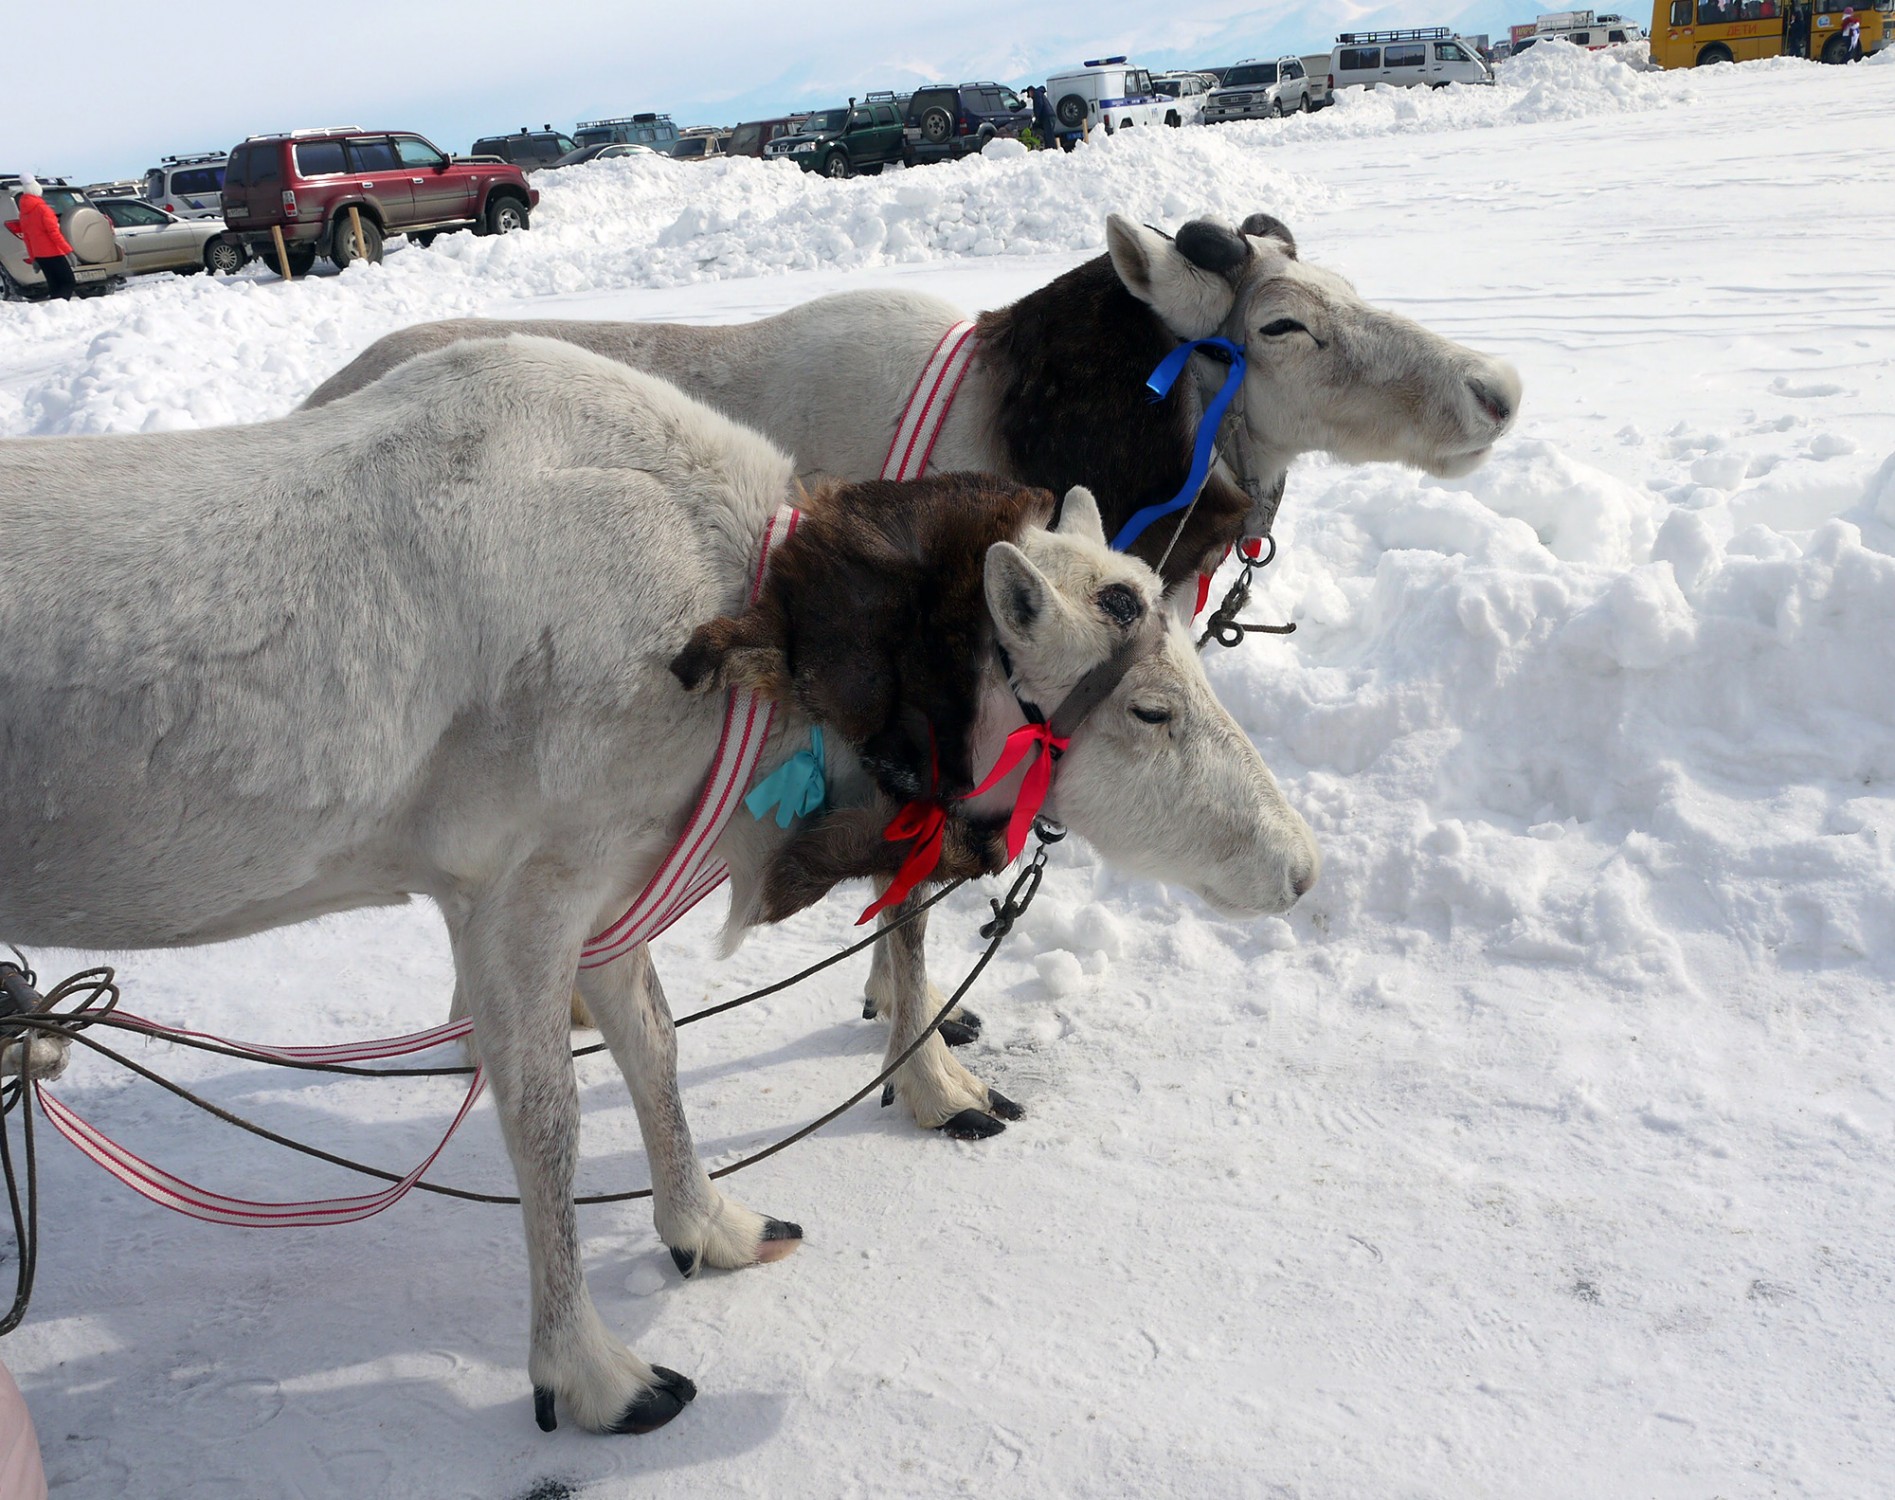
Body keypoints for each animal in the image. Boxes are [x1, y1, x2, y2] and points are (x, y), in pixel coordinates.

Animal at [0, 336, 1318, 1434]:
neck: (757, 648)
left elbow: (655, 1046)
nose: (1297, 865)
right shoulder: (513, 893)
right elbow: (547, 1126)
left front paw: (710, 1226)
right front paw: (589, 1372)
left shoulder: (612, 876)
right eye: (1149, 710)